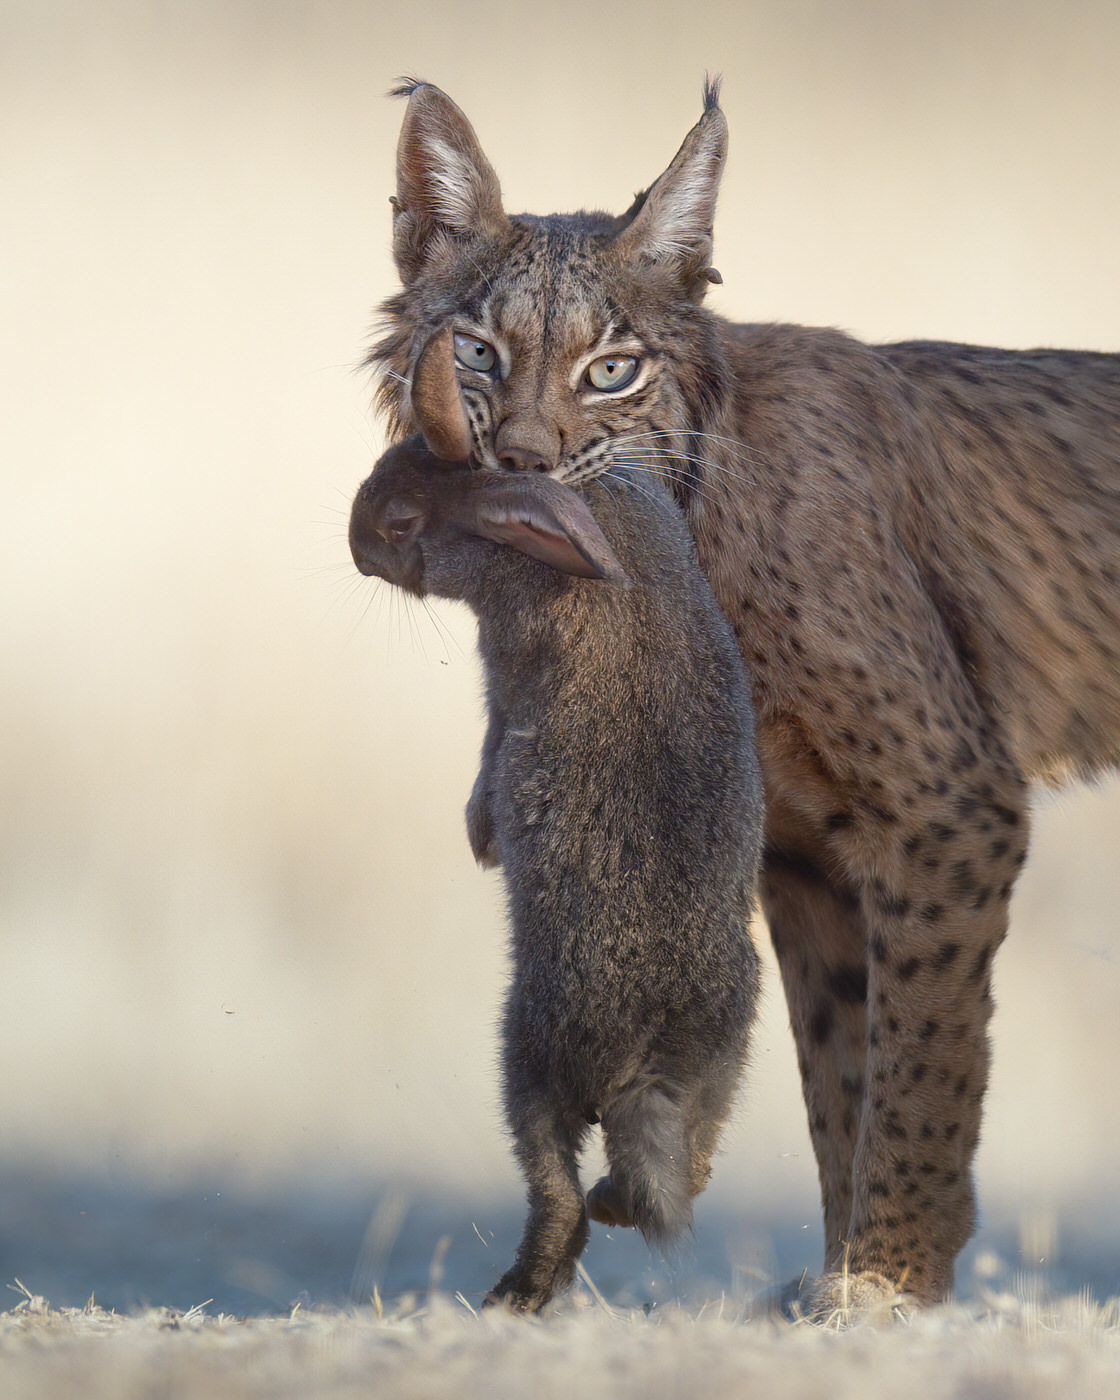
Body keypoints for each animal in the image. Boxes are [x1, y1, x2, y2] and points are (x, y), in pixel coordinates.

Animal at [350, 330, 767, 1310]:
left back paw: (514, 1293)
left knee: (557, 1187)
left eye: (402, 522)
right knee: (677, 1172)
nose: (353, 544)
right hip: (725, 1057)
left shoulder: (505, 681)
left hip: (527, 1053)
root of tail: (648, 1050)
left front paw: (479, 836)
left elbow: (494, 744)